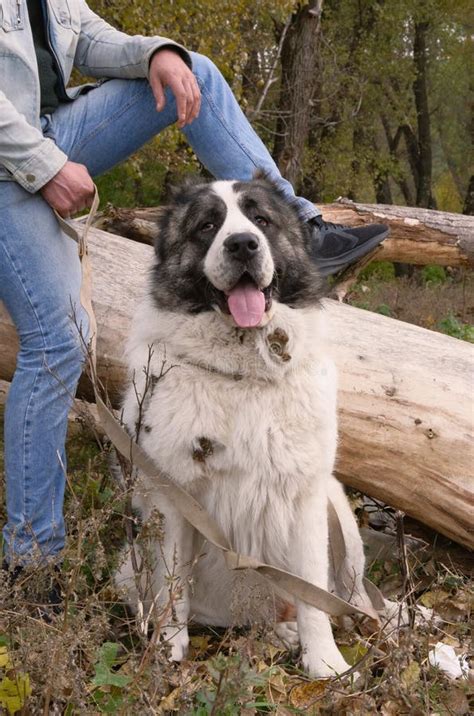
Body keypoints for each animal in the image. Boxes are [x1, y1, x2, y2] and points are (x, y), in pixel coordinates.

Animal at [116, 175, 376, 676]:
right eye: (207, 225)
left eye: (261, 219)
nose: (241, 244)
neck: (243, 374)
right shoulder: (174, 500)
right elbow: (172, 584)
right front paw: (168, 647)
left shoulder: (307, 500)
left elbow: (314, 593)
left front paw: (324, 662)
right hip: (128, 562)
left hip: (340, 516)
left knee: (352, 599)